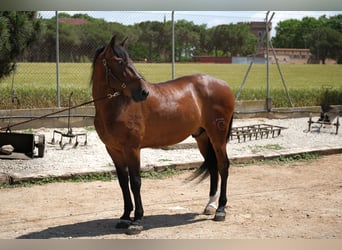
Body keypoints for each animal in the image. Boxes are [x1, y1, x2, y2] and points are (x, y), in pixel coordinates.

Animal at [91, 34, 235, 234]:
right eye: (119, 61)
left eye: (129, 60)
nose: (143, 92)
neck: (116, 106)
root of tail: (224, 85)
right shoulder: (113, 150)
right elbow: (123, 182)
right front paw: (125, 216)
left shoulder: (132, 149)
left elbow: (135, 182)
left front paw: (137, 220)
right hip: (203, 137)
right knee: (213, 166)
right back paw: (210, 205)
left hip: (217, 136)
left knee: (223, 166)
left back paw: (220, 209)